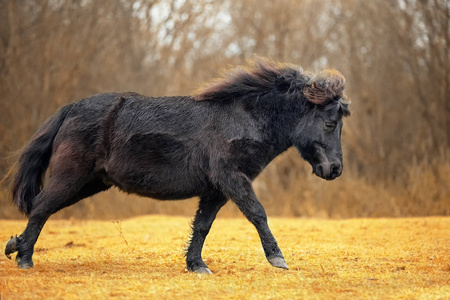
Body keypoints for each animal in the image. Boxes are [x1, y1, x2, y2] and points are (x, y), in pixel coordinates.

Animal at [5, 58, 352, 274]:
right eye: (330, 123)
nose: (335, 170)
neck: (241, 119)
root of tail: (71, 108)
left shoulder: (216, 191)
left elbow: (202, 226)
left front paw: (196, 264)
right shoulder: (233, 179)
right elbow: (257, 213)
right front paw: (278, 258)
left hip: (89, 183)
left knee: (42, 207)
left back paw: (15, 246)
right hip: (72, 178)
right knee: (41, 207)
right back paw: (24, 258)